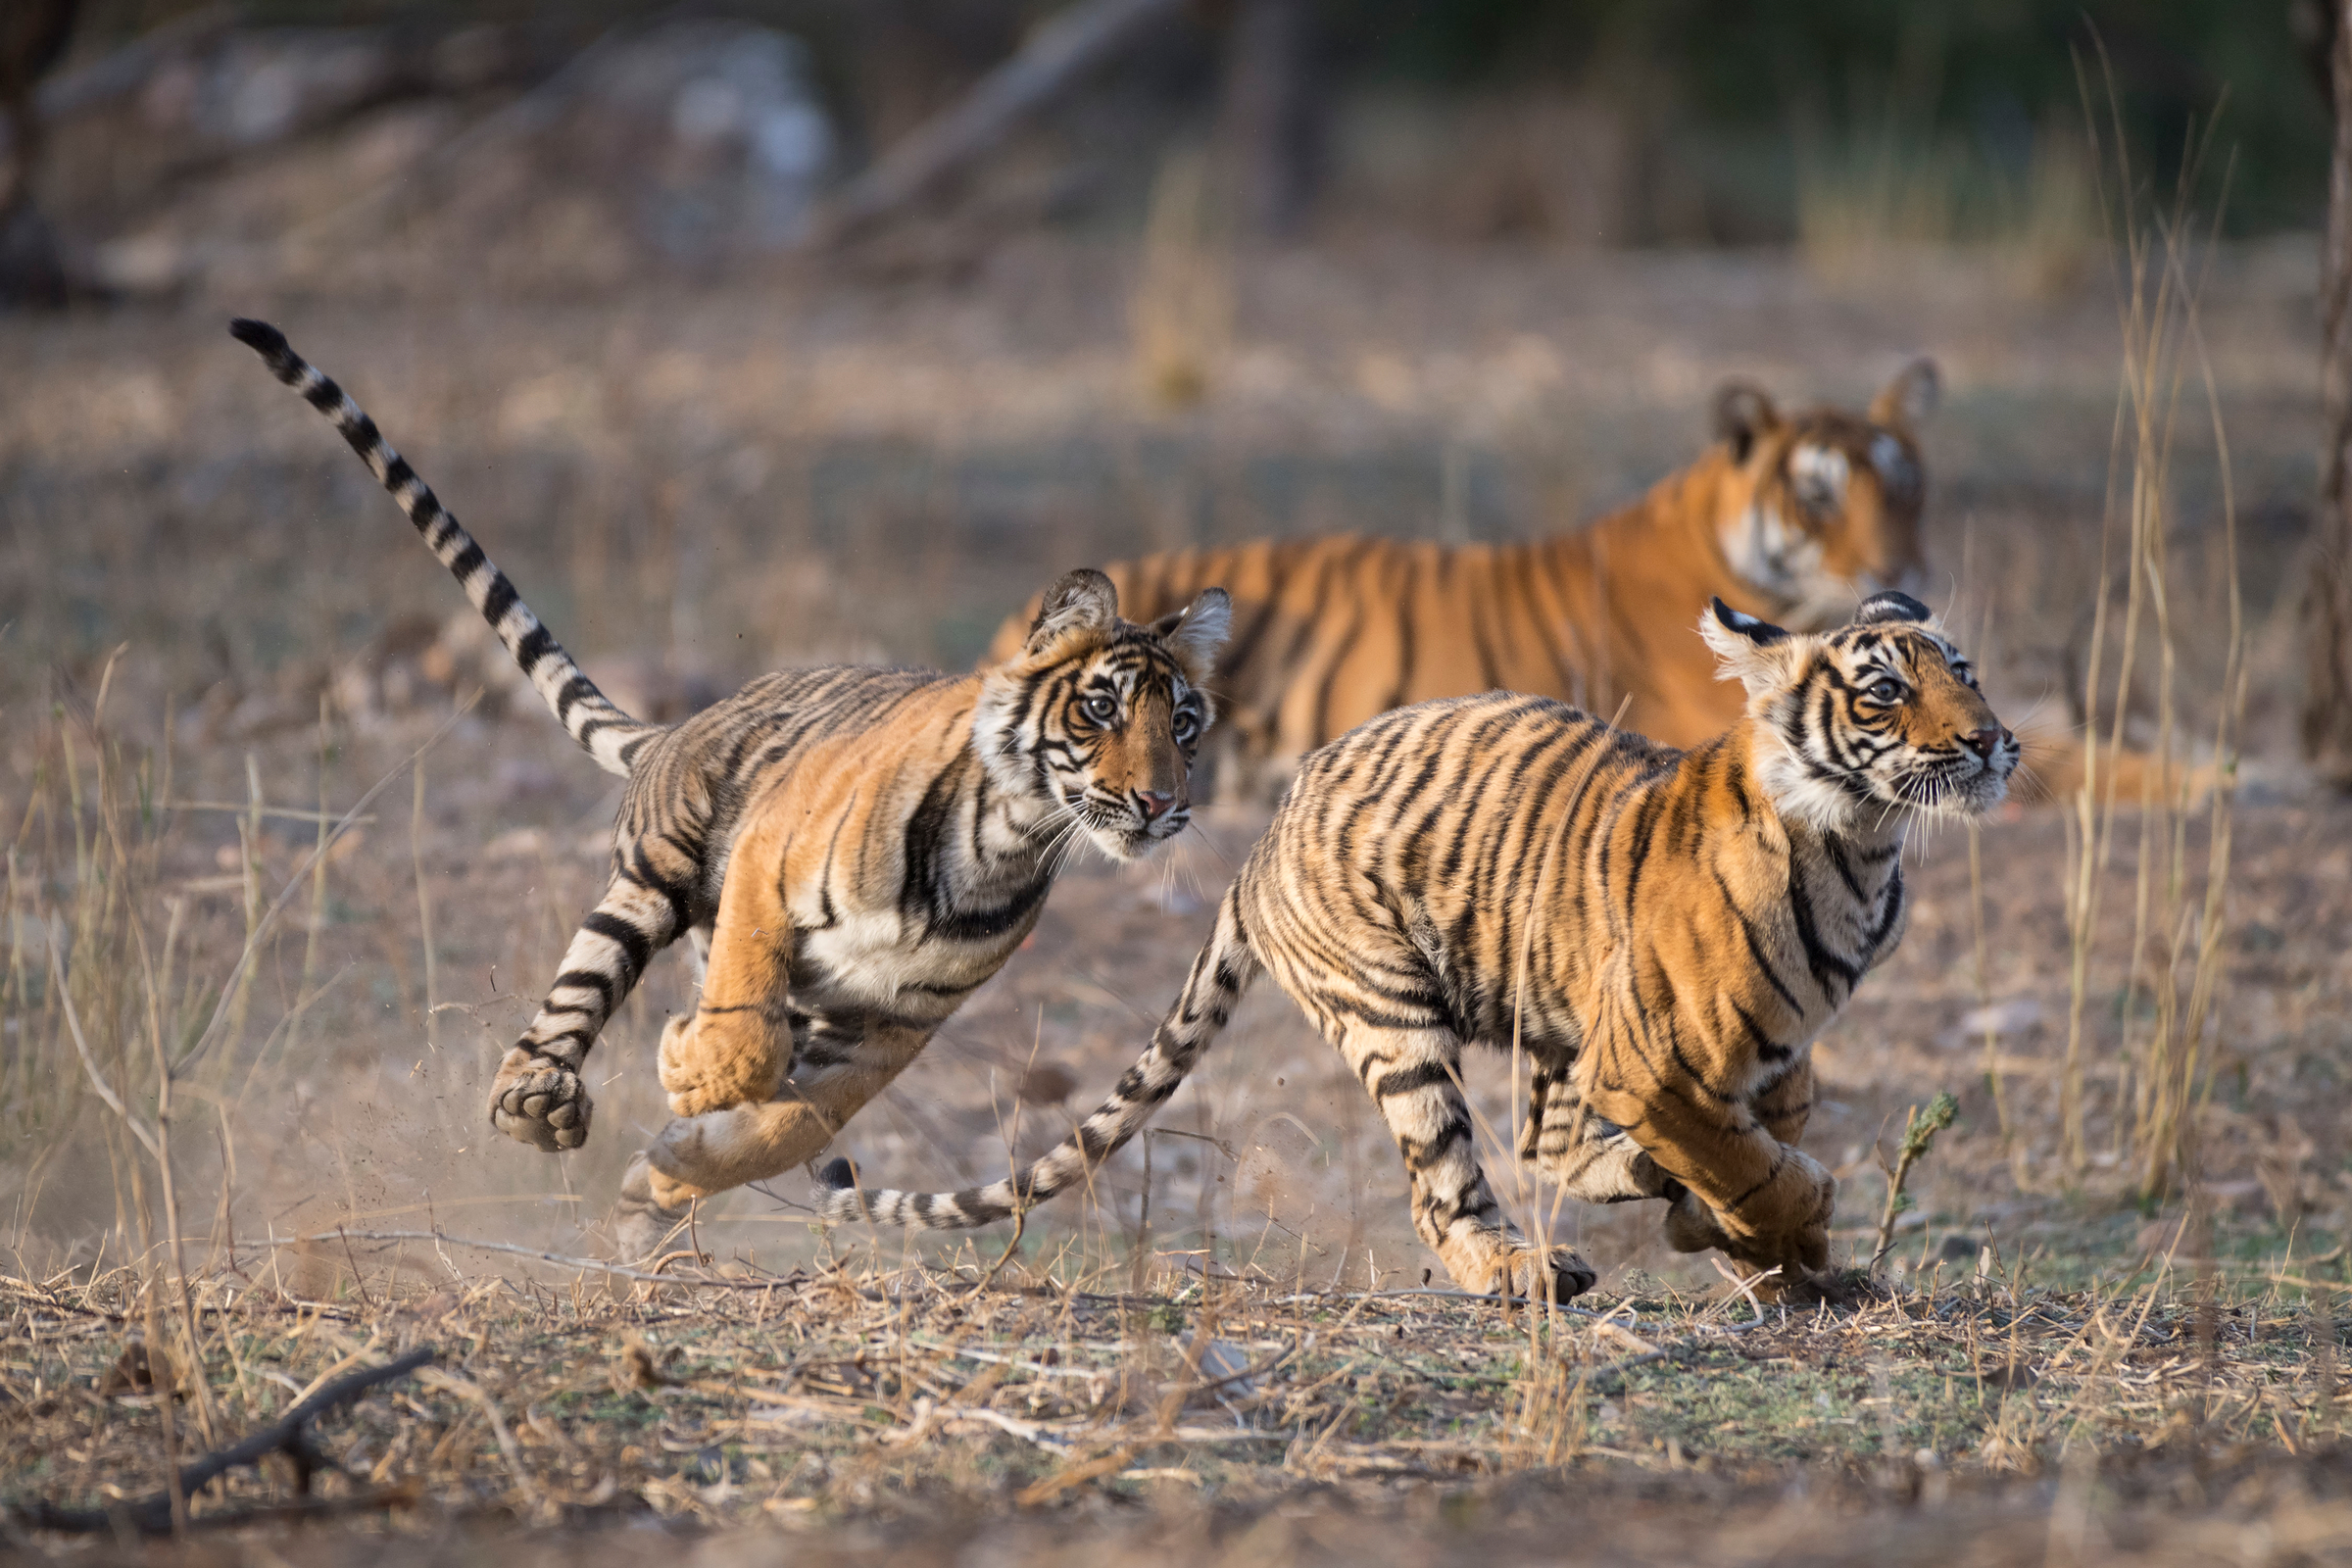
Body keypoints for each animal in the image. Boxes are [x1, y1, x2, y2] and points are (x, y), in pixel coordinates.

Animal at [230, 319, 1231, 1259]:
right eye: (1101, 708)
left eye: (1182, 723)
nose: (1158, 803)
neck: (1005, 841)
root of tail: (681, 727)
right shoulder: (766, 870)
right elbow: (748, 1034)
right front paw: (687, 1066)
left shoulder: (894, 1023)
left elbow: (789, 1125)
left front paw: (670, 1169)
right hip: (651, 883)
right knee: (574, 1000)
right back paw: (535, 1098)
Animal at [813, 590, 2016, 1299]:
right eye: (1885, 689)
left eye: (1966, 671)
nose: (1993, 741)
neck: (1862, 846)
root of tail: (1262, 840)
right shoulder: (1653, 1064)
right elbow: (1763, 1172)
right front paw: (1781, 1239)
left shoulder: (1756, 1061)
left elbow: (1759, 1150)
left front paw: (1769, 1255)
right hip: (1398, 1020)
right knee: (1448, 1187)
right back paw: (1521, 1268)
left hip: (1552, 1020)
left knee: (1544, 1143)